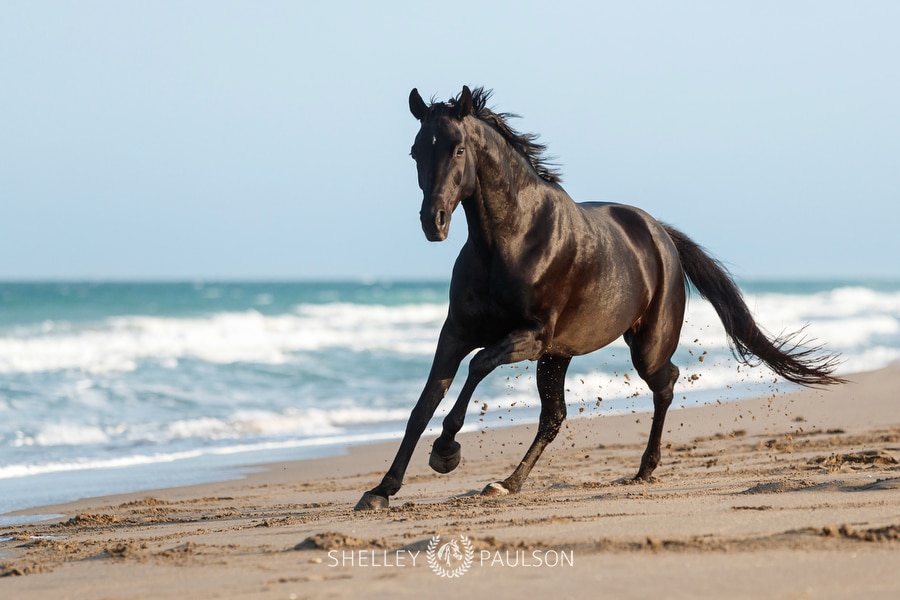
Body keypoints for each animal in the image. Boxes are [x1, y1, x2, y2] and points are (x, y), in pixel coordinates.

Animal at [354, 86, 844, 508]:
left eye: (457, 149)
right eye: (417, 151)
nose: (432, 222)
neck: (511, 240)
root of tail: (660, 234)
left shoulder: (531, 335)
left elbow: (478, 366)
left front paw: (446, 450)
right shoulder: (457, 333)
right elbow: (425, 401)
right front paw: (380, 491)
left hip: (639, 347)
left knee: (665, 382)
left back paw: (644, 469)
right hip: (559, 356)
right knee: (554, 417)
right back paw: (507, 483)